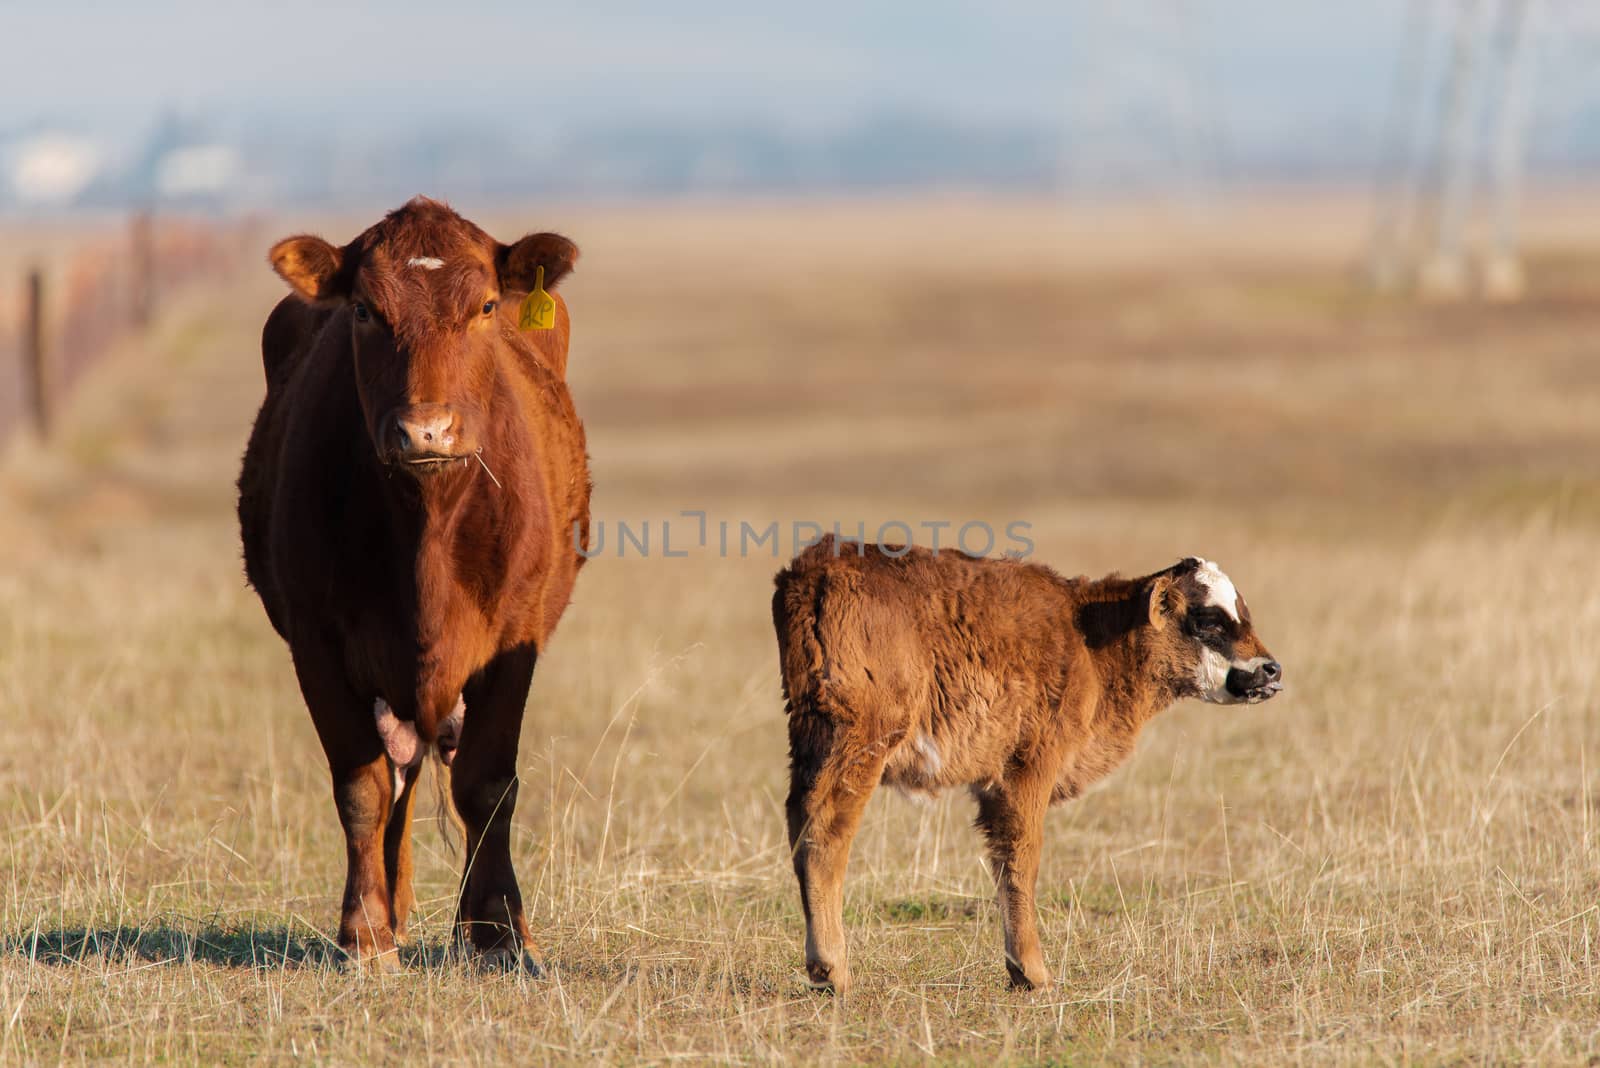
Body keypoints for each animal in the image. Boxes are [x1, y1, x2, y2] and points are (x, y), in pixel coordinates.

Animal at [233, 195, 592, 972]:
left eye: (485, 305)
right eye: (366, 310)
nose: (426, 431)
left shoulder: (514, 640)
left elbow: (487, 783)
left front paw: (499, 932)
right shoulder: (317, 641)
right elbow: (362, 786)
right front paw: (366, 933)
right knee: (399, 771)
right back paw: (393, 908)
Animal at [768, 537, 1280, 997]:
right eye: (1209, 618)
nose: (1271, 669)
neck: (1089, 636)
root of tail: (818, 569)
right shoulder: (1026, 771)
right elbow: (1021, 859)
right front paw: (1030, 971)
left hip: (815, 745)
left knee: (799, 821)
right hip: (860, 744)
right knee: (827, 833)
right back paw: (832, 969)